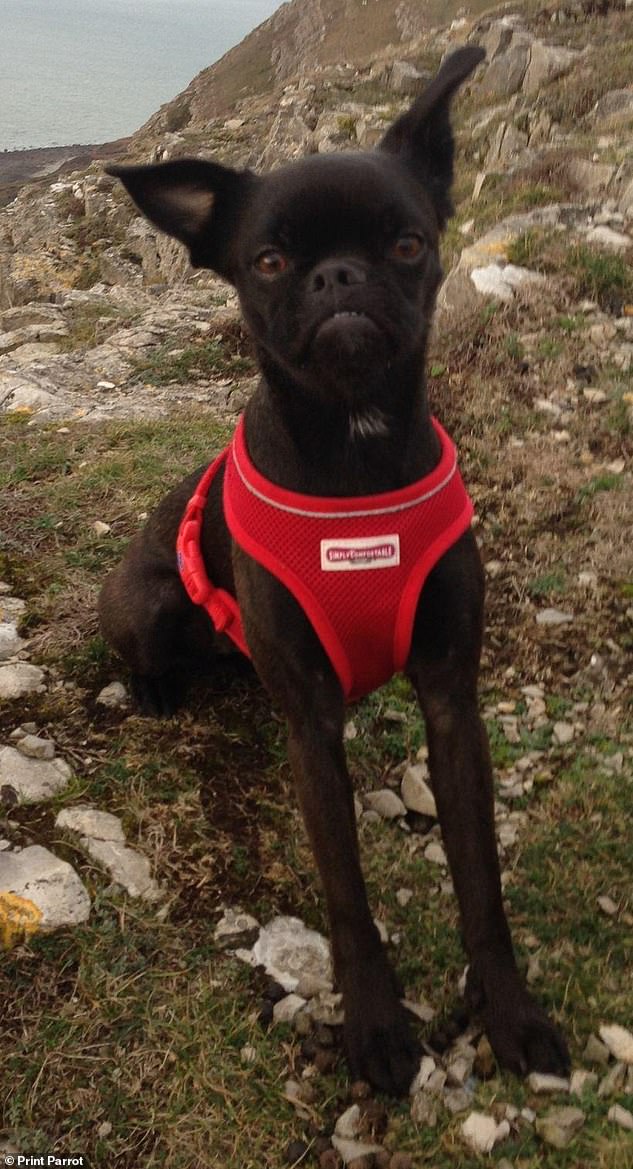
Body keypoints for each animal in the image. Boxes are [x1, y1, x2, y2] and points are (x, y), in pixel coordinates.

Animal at [98, 47, 568, 1094]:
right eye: (268, 261)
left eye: (406, 242)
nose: (339, 275)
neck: (355, 455)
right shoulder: (312, 729)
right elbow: (348, 898)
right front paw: (377, 1028)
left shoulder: (451, 699)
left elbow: (481, 882)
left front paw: (509, 1014)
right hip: (147, 600)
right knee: (141, 647)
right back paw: (153, 689)